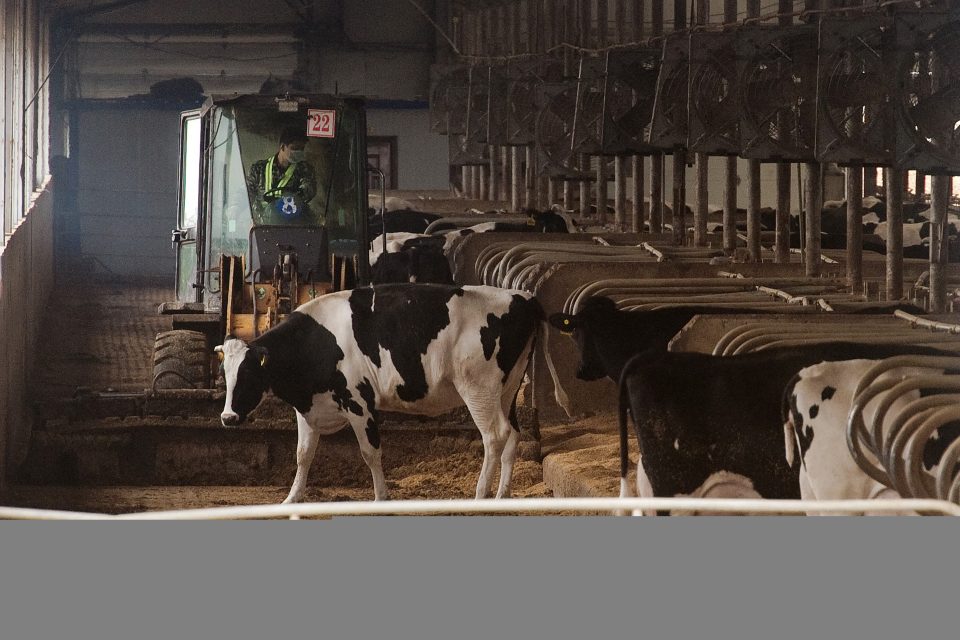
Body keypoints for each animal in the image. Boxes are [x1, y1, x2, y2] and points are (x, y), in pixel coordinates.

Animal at [218, 284, 544, 500]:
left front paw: (380, 497)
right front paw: (291, 499)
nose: (227, 417)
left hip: (478, 388)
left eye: (248, 374)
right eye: (225, 374)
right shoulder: (308, 408)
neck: (314, 343)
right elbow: (303, 454)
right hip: (508, 388)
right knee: (513, 434)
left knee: (495, 435)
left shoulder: (359, 403)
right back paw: (502, 495)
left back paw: (480, 494)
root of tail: (521, 297)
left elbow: (370, 453)